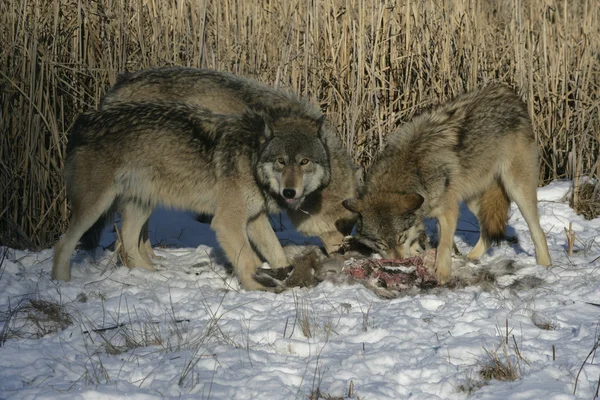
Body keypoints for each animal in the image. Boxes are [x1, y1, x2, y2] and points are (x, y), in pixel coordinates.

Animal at [52, 101, 330, 290]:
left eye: (304, 162)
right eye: (281, 161)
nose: (289, 191)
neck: (252, 157)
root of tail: (84, 120)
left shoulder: (254, 218)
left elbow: (276, 251)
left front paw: (287, 277)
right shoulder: (228, 222)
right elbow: (247, 260)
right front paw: (257, 288)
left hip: (143, 204)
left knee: (129, 244)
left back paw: (154, 275)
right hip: (96, 207)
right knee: (63, 244)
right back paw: (61, 283)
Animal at [342, 83, 552, 284]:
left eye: (401, 237)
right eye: (381, 244)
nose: (398, 262)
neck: (412, 169)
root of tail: (510, 95)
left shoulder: (448, 211)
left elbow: (443, 245)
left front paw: (441, 275)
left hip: (517, 189)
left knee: (538, 232)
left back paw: (545, 266)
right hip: (473, 200)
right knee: (487, 233)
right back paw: (470, 259)